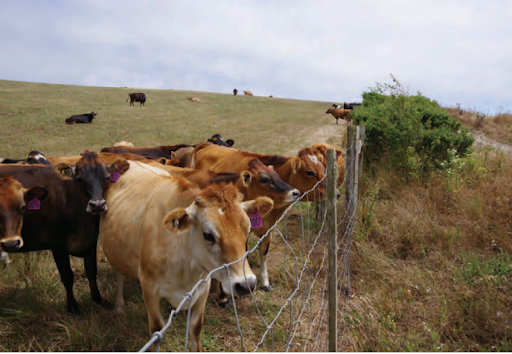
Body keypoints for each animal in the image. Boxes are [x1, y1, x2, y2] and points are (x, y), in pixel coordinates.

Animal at [0, 152, 130, 312]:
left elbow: (91, 270)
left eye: (106, 178)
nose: (97, 205)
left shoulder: (91, 241)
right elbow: (67, 276)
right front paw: (73, 307)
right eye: (79, 179)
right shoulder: (58, 246)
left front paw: (98, 300)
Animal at [100, 161, 276, 352]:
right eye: (208, 235)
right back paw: (119, 306)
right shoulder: (148, 288)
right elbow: (156, 330)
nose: (246, 284)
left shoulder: (203, 287)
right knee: (119, 274)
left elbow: (196, 328)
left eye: (248, 229)